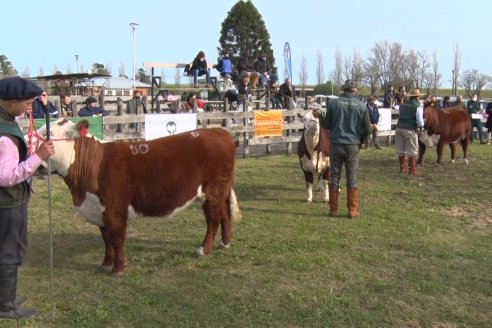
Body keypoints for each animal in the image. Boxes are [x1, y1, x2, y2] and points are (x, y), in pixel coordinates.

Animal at [38, 119, 240, 276]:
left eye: (48, 133)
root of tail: (221, 132)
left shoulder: (114, 210)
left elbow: (117, 239)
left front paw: (118, 268)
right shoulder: (98, 211)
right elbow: (106, 239)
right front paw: (106, 264)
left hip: (212, 191)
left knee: (213, 220)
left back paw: (204, 249)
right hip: (219, 191)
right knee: (225, 215)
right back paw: (225, 243)